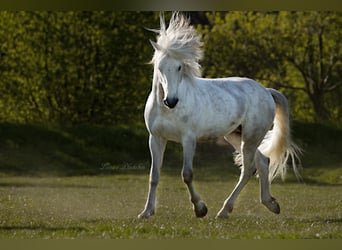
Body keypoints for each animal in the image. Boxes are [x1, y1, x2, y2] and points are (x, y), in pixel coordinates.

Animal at [138, 12, 300, 219]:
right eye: (160, 66)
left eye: (180, 67)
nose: (171, 101)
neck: (167, 110)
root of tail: (266, 91)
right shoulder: (156, 138)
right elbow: (154, 175)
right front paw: (146, 211)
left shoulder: (188, 139)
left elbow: (187, 174)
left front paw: (200, 209)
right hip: (235, 136)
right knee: (263, 162)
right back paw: (271, 204)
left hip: (250, 138)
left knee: (248, 169)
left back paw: (224, 211)